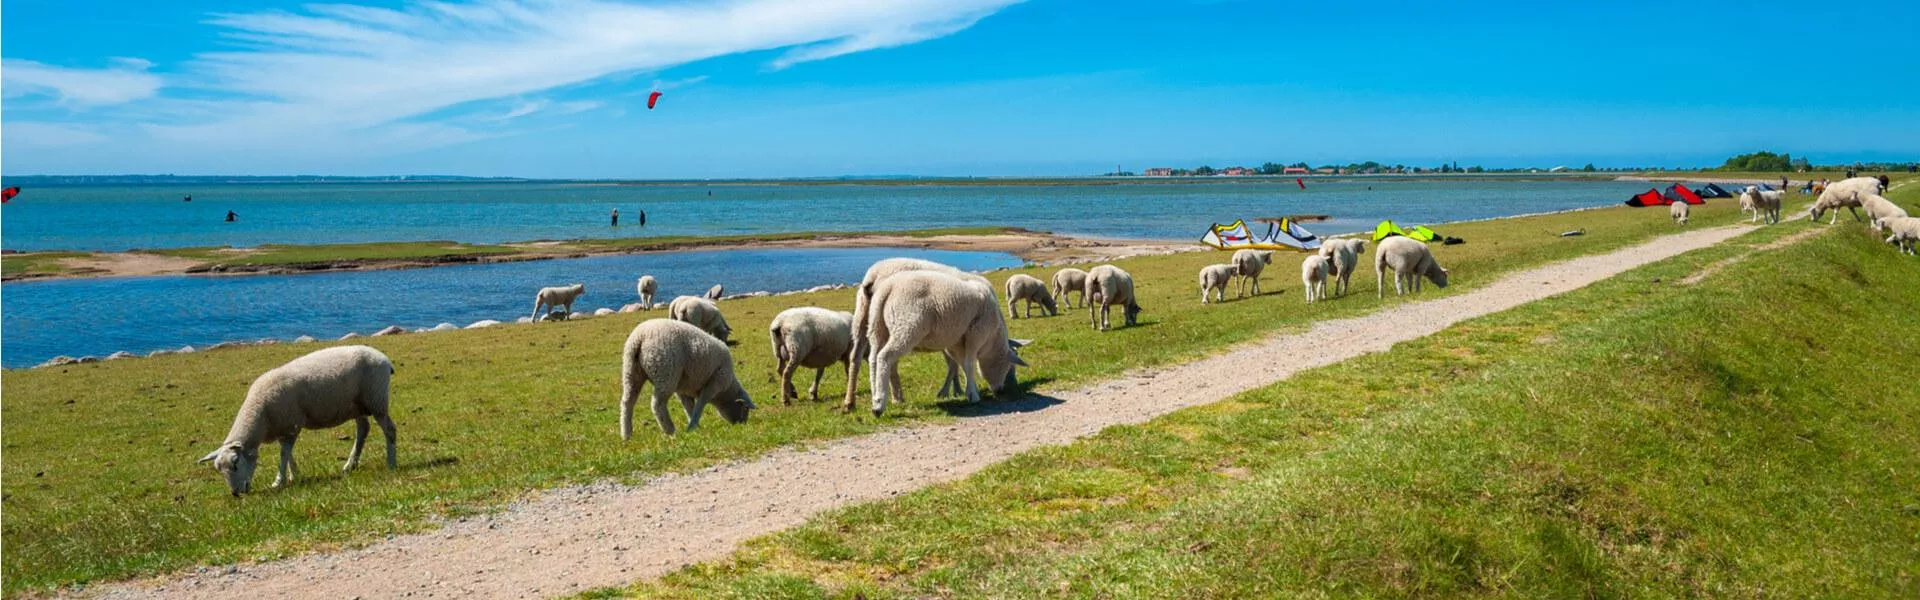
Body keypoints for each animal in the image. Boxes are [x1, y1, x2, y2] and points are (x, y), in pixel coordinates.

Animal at [198, 344, 397, 496]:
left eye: (235, 462)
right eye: (218, 469)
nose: (236, 494)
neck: (261, 416)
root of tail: (384, 358)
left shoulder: (290, 425)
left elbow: (284, 454)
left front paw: (279, 481)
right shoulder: (282, 429)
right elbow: (288, 454)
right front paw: (295, 475)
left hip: (376, 400)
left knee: (389, 429)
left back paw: (391, 463)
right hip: (357, 405)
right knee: (363, 429)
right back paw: (350, 465)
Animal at [622, 319, 756, 436]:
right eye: (745, 409)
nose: (742, 424)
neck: (726, 390)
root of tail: (640, 337)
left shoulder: (683, 388)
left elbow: (688, 406)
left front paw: (694, 427)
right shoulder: (714, 382)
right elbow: (701, 403)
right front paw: (693, 426)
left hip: (631, 372)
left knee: (627, 402)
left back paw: (627, 434)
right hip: (666, 373)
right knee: (657, 405)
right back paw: (670, 430)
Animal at [864, 269, 1029, 415]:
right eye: (1008, 367)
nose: (1000, 390)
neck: (993, 339)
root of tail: (887, 288)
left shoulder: (956, 342)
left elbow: (962, 364)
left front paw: (970, 389)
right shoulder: (976, 334)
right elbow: (970, 364)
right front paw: (973, 395)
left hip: (877, 327)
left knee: (873, 359)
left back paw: (875, 396)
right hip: (907, 326)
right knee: (884, 356)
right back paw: (879, 405)